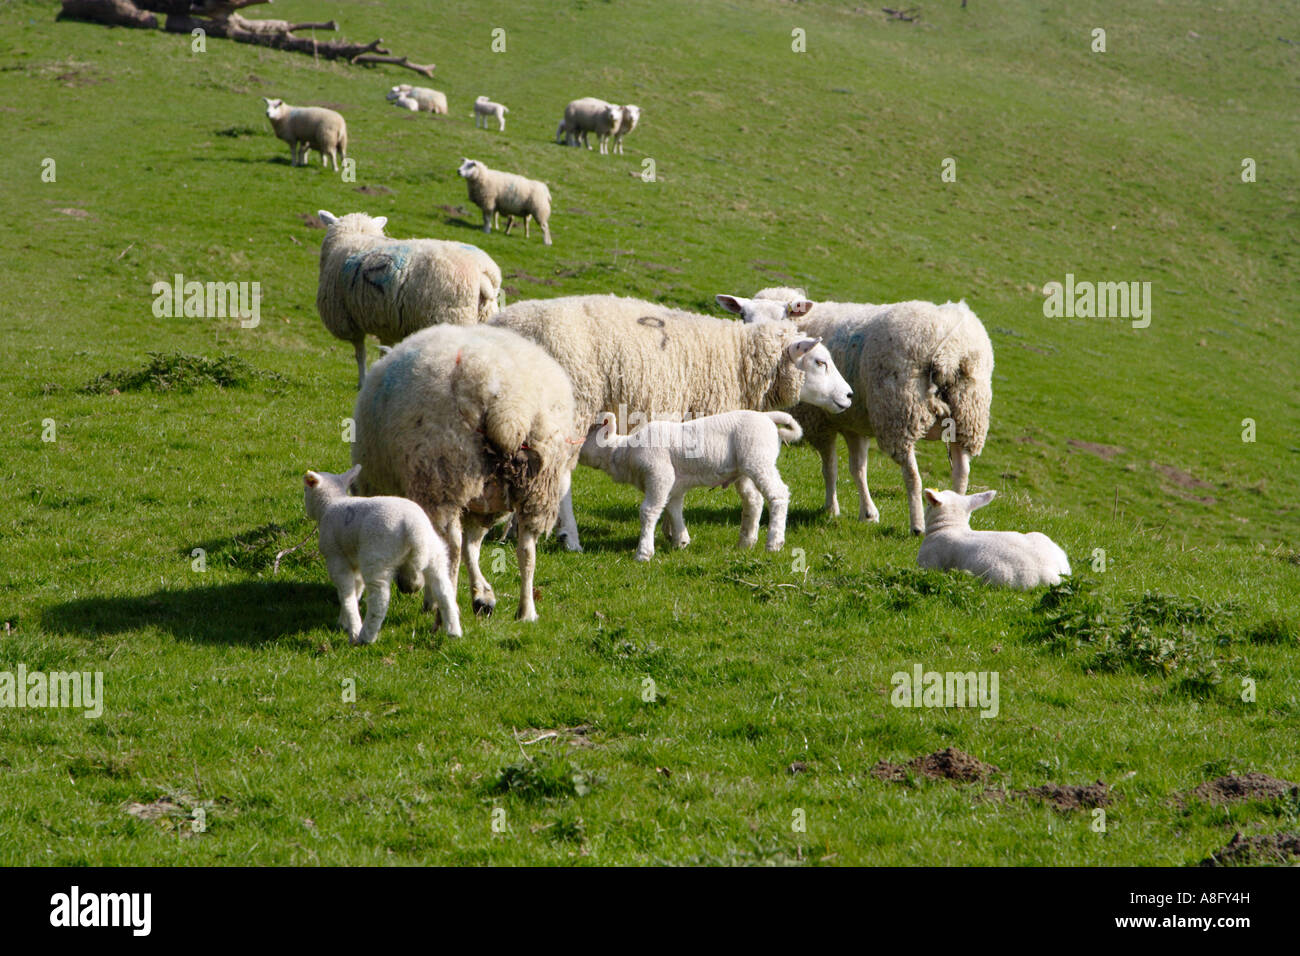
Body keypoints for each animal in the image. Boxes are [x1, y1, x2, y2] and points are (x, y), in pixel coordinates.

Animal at [303, 464, 462, 644]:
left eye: (305, 490)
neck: (331, 503)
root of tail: (414, 527)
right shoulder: (354, 560)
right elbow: (356, 589)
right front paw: (344, 622)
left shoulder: (336, 558)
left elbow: (346, 593)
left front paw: (352, 628)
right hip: (435, 552)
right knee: (444, 591)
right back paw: (453, 631)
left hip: (377, 556)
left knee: (380, 600)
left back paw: (366, 637)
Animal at [315, 210, 503, 387]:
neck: (354, 237)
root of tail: (482, 273)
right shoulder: (386, 323)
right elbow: (383, 351)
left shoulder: (348, 319)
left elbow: (360, 354)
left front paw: (362, 382)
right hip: (485, 317)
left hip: (453, 318)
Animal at [350, 324, 583, 622]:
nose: (405, 587)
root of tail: (509, 407)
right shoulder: (480, 507)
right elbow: (472, 548)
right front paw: (482, 596)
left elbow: (450, 550)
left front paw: (431, 596)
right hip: (537, 485)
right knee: (526, 549)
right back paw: (526, 611)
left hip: (443, 477)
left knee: (451, 548)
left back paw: (442, 611)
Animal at [580, 409, 803, 561]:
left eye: (586, 434)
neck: (623, 452)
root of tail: (767, 416)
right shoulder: (674, 485)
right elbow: (673, 509)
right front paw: (681, 541)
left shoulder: (660, 475)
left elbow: (648, 511)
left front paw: (643, 552)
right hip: (744, 470)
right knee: (753, 501)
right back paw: (745, 542)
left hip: (759, 460)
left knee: (778, 495)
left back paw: (774, 542)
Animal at [716, 289, 994, 536]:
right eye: (743, 316)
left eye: (783, 315)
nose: (759, 342)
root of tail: (950, 351)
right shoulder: (853, 423)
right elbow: (858, 470)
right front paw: (868, 514)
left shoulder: (820, 423)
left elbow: (829, 468)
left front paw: (831, 509)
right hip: (968, 414)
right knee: (961, 472)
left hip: (900, 413)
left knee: (913, 476)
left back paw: (917, 526)